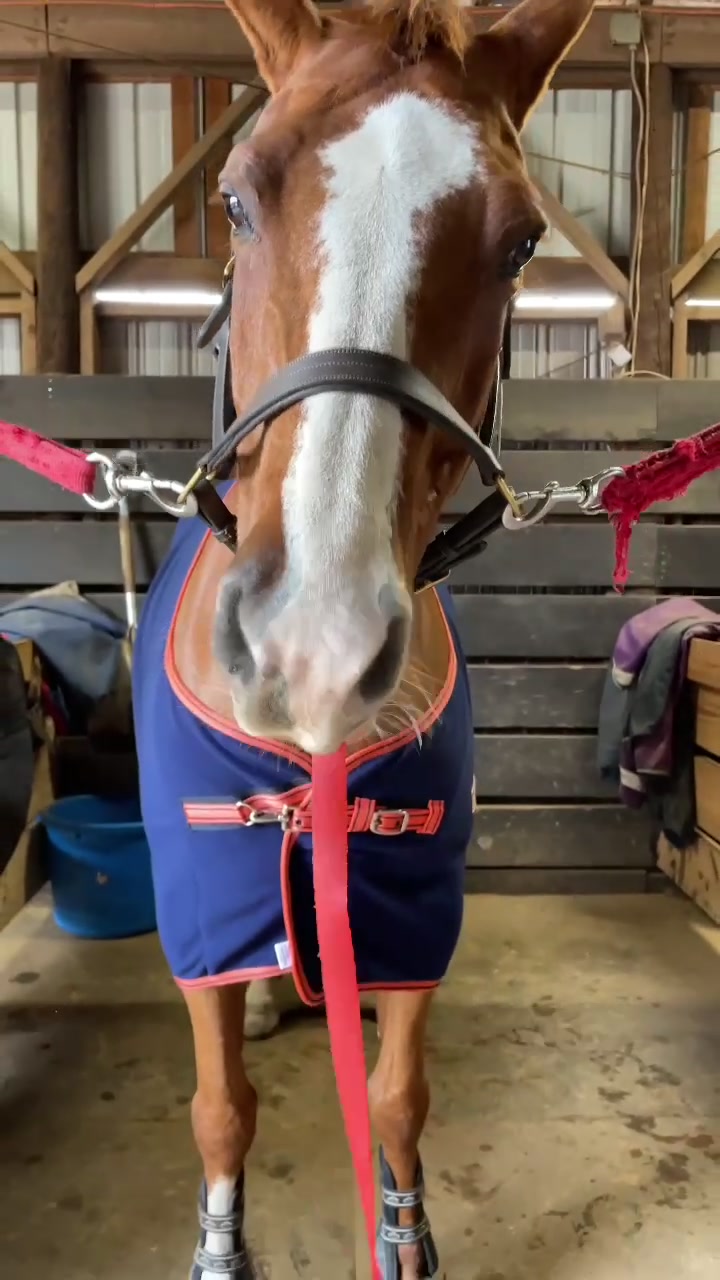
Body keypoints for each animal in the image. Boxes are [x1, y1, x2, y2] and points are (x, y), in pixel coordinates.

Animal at [131, 1, 596, 1276]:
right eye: (237, 197)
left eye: (521, 245)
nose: (314, 649)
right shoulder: (205, 901)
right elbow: (219, 1108)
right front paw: (220, 1246)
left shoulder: (409, 893)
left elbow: (394, 1097)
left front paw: (404, 1233)